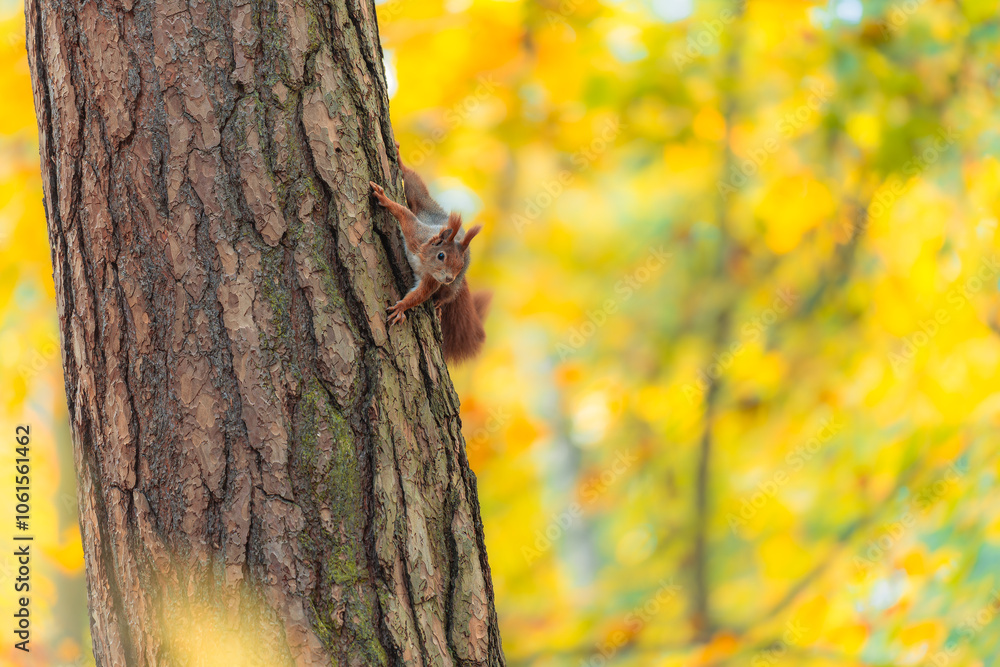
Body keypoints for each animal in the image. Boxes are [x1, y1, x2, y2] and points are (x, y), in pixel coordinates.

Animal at [369, 144, 491, 363]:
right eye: (441, 256)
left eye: (460, 265)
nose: (449, 278)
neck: (424, 263)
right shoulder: (416, 236)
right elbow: (403, 213)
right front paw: (384, 199)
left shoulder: (432, 281)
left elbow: (420, 294)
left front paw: (402, 307)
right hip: (424, 204)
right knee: (415, 187)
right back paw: (400, 161)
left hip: (454, 287)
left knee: (448, 295)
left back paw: (439, 304)